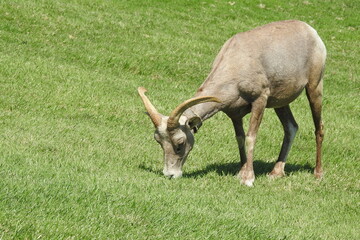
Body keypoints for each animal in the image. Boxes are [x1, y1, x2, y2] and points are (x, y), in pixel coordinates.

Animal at [138, 20, 326, 186]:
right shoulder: (234, 114)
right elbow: (240, 138)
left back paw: (318, 173)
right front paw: (241, 173)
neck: (237, 64)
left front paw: (248, 179)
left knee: (319, 128)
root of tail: (311, 31)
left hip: (314, 87)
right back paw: (275, 173)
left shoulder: (260, 100)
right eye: (159, 141)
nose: (170, 174)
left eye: (180, 143)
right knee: (291, 127)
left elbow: (251, 137)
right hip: (280, 103)